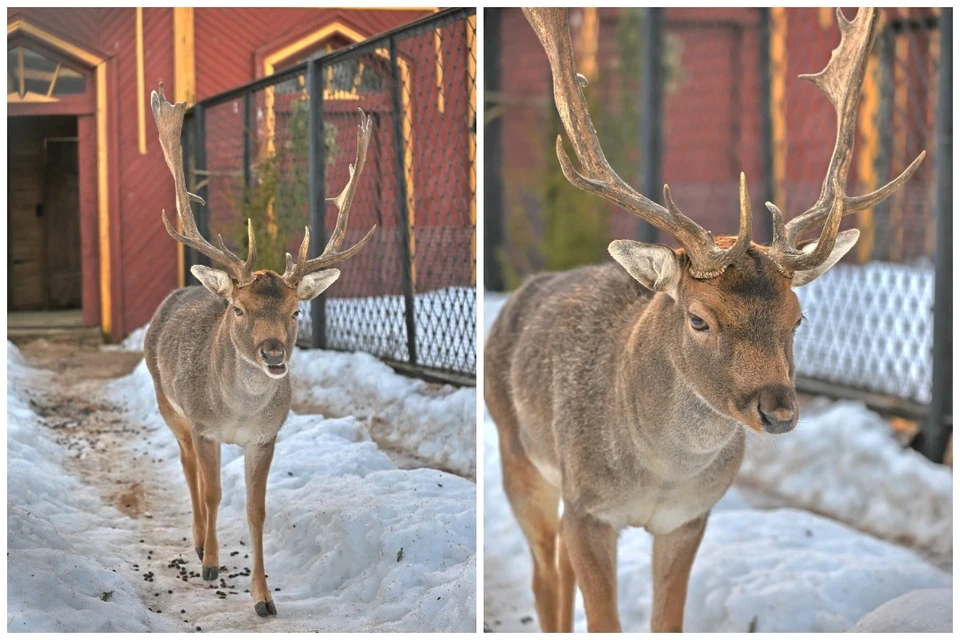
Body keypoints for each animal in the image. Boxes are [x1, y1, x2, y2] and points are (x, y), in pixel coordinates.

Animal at [142, 81, 376, 616]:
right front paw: (210, 564)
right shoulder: (203, 426)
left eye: (296, 311)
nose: (273, 355)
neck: (238, 413)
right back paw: (197, 543)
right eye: (239, 309)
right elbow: (212, 494)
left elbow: (256, 511)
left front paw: (263, 597)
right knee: (188, 469)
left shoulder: (266, 437)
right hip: (168, 403)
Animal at [492, 7, 928, 632]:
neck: (658, 472)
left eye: (799, 318)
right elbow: (601, 618)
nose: (779, 411)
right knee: (545, 579)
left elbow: (666, 620)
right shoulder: (588, 507)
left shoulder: (688, 518)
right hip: (518, 455)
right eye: (699, 319)